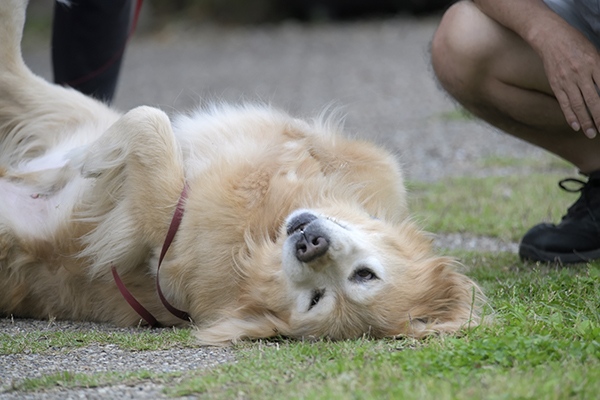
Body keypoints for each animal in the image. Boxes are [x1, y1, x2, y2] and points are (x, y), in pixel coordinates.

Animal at [0, 0, 482, 346]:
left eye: (317, 299)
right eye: (367, 274)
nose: (311, 245)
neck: (262, 226)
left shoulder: (160, 217)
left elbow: (148, 122)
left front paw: (90, 157)